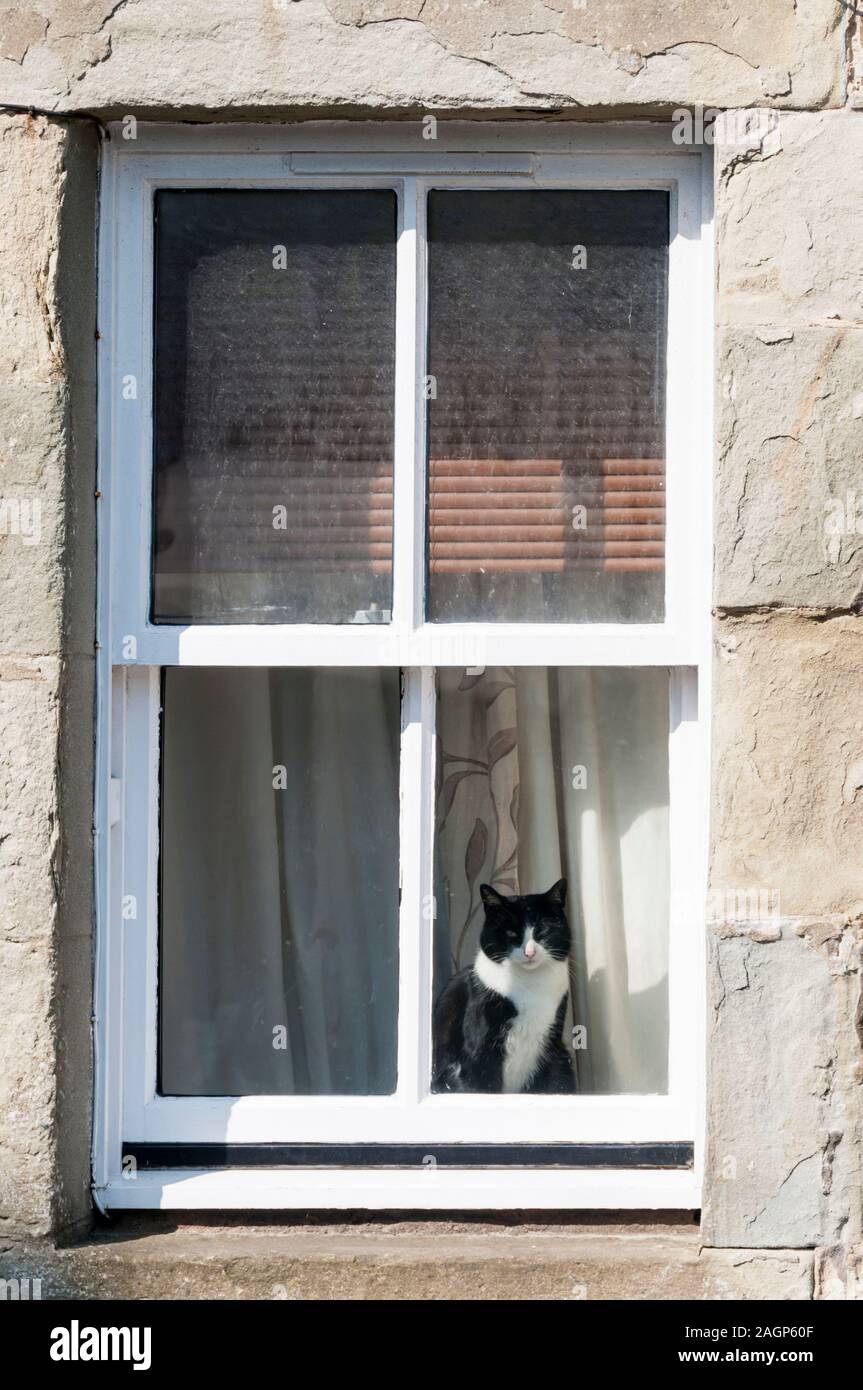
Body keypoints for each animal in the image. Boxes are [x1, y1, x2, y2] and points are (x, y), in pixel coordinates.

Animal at [430, 878, 572, 1095]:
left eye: (542, 930)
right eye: (511, 933)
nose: (529, 953)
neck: (530, 985)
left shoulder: (552, 1045)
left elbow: (549, 1083)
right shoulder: (481, 1047)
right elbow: (483, 1083)